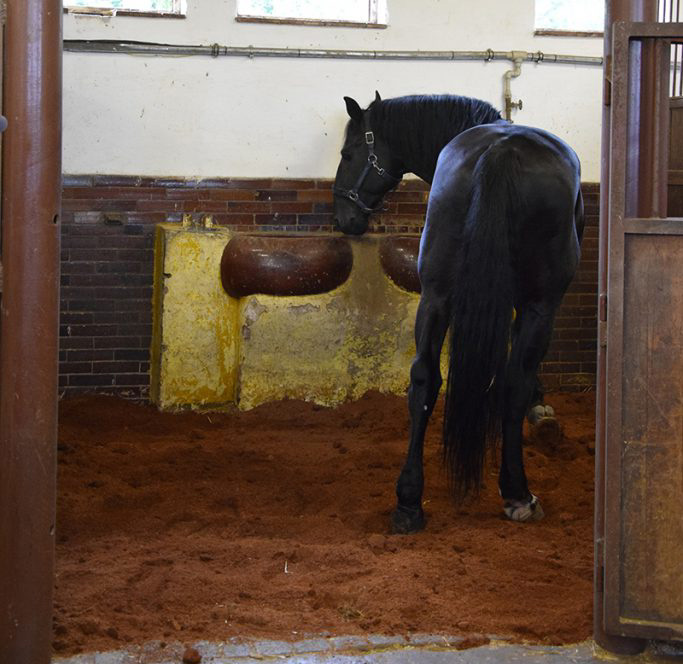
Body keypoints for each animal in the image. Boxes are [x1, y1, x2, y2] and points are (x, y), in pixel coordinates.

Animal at [332, 93, 584, 534]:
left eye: (349, 153)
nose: (342, 217)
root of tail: (501, 151)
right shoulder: (530, 303)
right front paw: (540, 408)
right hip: (541, 303)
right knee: (513, 382)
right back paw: (517, 493)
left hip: (437, 296)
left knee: (424, 379)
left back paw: (409, 501)